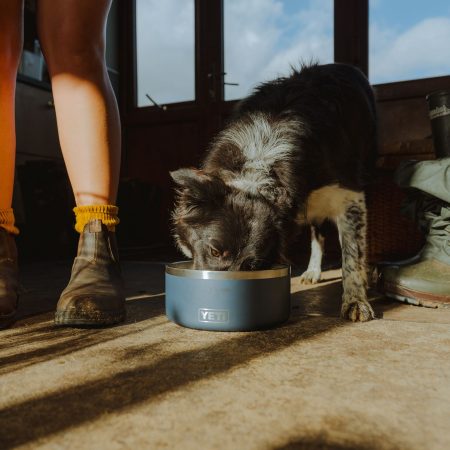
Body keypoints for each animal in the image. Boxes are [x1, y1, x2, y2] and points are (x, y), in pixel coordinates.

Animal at [169, 64, 376, 324]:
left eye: (253, 265)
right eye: (215, 251)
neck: (260, 161)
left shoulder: (349, 194)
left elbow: (352, 253)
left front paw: (356, 300)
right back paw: (313, 270)